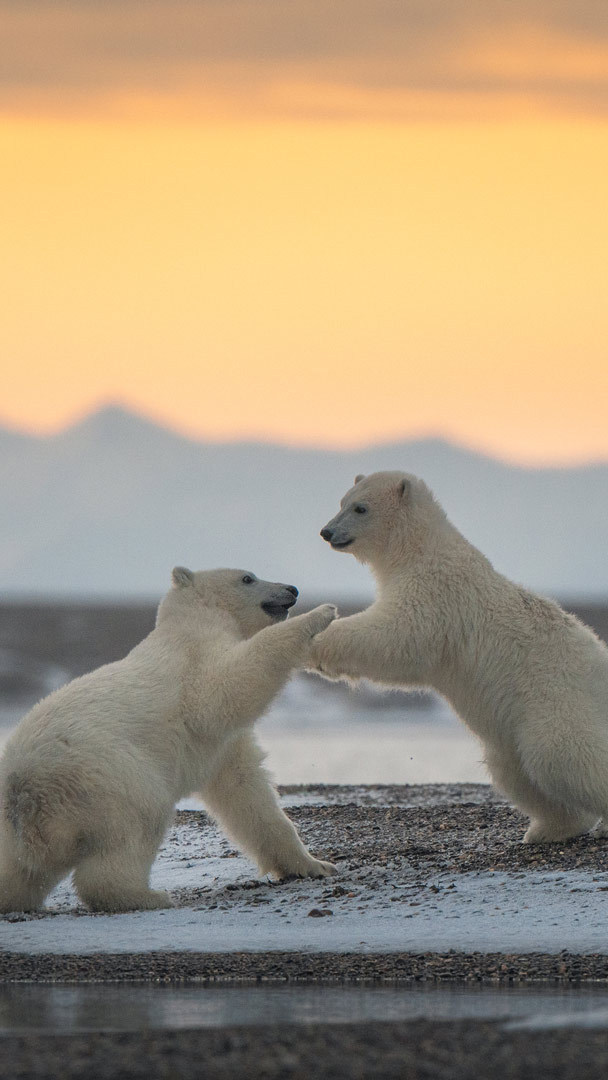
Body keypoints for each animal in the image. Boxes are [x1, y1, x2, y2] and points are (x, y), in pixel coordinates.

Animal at [0, 565, 336, 911]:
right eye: (247, 578)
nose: (292, 589)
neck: (192, 621)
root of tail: (25, 791)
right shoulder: (194, 663)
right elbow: (228, 682)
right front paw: (322, 613)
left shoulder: (223, 747)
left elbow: (247, 790)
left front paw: (315, 865)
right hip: (107, 778)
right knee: (137, 826)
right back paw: (147, 895)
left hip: (16, 824)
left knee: (19, 870)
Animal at [313, 470, 608, 842]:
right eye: (342, 502)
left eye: (360, 507)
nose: (326, 532)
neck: (420, 548)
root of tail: (600, 666)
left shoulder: (434, 593)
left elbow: (396, 637)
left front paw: (316, 640)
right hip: (513, 725)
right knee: (513, 768)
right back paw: (548, 828)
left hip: (554, 698)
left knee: (560, 754)